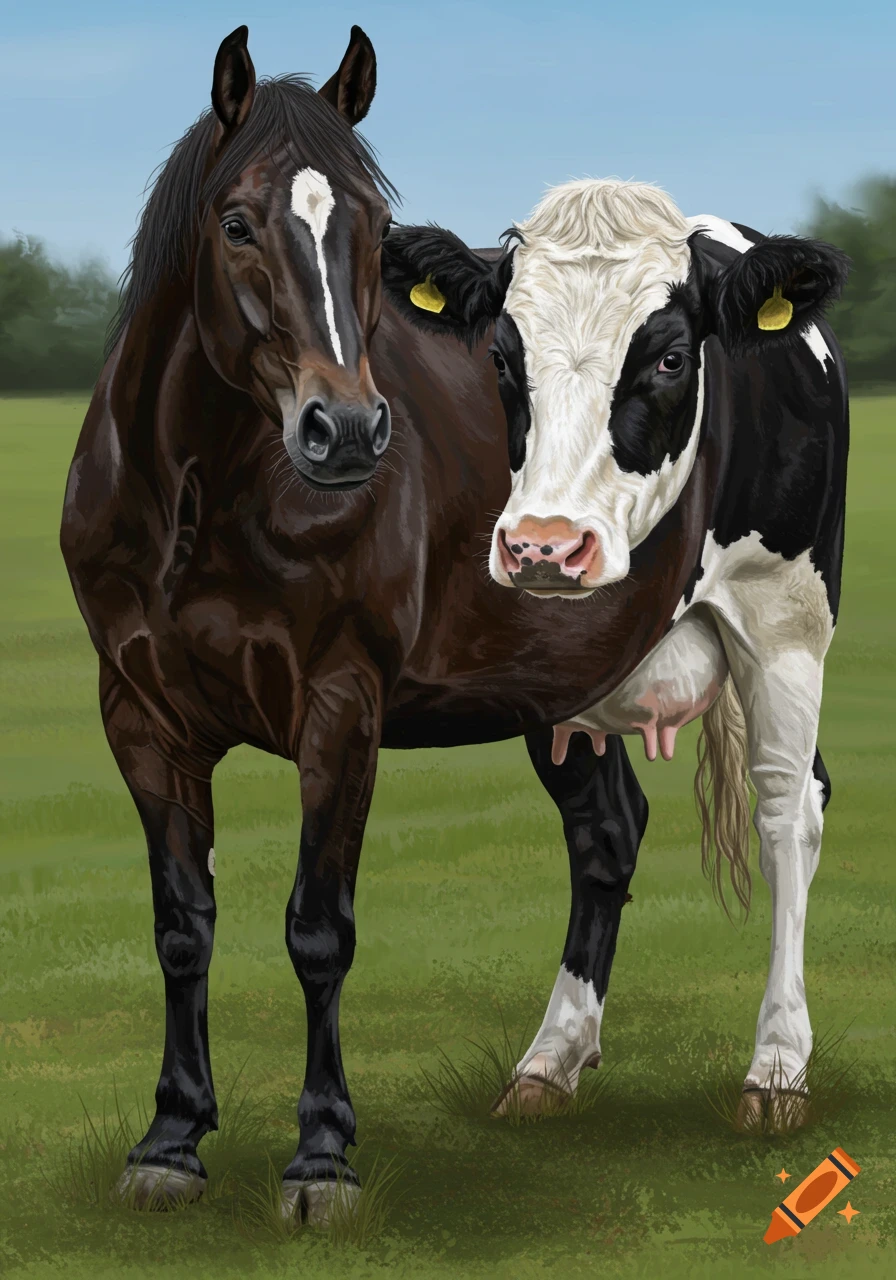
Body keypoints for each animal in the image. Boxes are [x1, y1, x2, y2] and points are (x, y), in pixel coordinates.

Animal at [61, 25, 774, 1227]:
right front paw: (171, 1141)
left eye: (373, 227)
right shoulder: (141, 715)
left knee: (782, 816)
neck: (198, 496)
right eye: (237, 222)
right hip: (559, 676)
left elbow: (319, 928)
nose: (345, 430)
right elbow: (181, 923)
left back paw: (771, 1079)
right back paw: (546, 1070)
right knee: (607, 832)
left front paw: (321, 1160)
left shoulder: (341, 707)